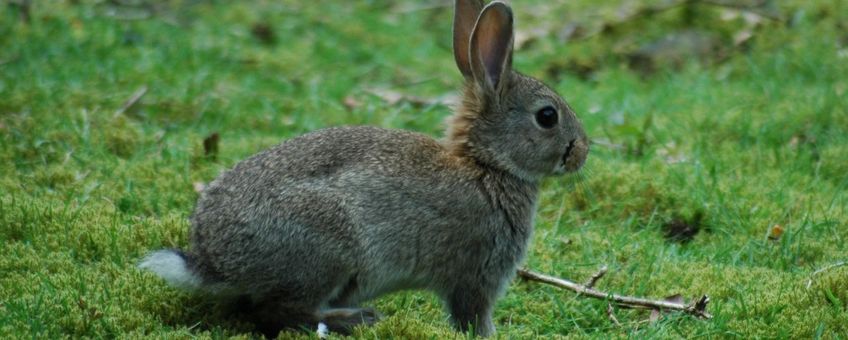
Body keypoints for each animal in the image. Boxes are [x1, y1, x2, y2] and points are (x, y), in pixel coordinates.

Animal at [141, 0, 588, 338]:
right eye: (547, 116)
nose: (581, 153)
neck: (487, 164)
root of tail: (212, 261)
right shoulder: (476, 275)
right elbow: (472, 318)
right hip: (324, 250)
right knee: (278, 312)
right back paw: (356, 319)